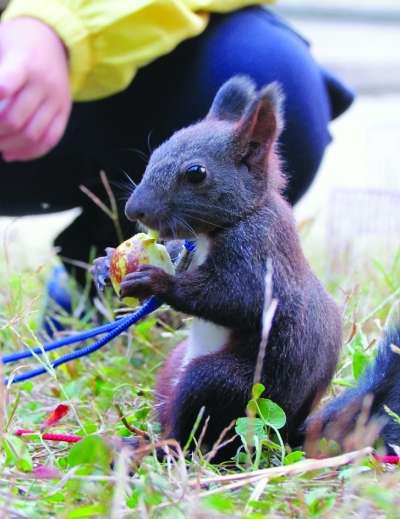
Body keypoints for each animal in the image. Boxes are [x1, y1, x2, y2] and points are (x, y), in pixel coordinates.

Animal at [93, 76, 400, 460]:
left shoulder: (258, 252)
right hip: (174, 369)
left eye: (196, 173)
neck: (227, 224)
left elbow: (237, 299)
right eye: (155, 154)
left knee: (191, 440)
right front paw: (104, 263)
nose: (135, 211)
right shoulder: (188, 245)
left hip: (220, 383)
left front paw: (156, 282)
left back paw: (149, 448)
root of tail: (290, 435)